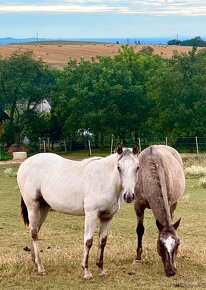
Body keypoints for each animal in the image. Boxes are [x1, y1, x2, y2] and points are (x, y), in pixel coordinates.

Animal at [17, 144, 139, 278]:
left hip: (43, 207)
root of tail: (25, 163)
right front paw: (86, 271)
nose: (129, 196)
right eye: (119, 168)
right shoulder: (91, 214)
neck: (103, 181)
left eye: (137, 167)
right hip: (32, 206)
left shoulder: (107, 217)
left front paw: (101, 270)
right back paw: (40, 267)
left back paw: (34, 261)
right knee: (34, 232)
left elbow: (102, 241)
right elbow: (88, 241)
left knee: (35, 231)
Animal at [134, 145, 185, 276]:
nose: (171, 271)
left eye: (178, 243)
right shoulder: (138, 205)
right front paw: (138, 258)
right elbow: (140, 230)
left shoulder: (170, 201)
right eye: (160, 245)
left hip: (174, 204)